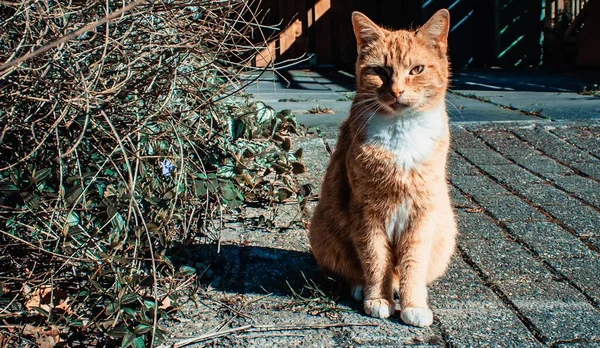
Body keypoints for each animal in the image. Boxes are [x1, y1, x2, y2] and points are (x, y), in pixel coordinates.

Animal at [308, 9, 458, 328]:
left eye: (416, 69)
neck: (401, 133)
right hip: (322, 228)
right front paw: (377, 299)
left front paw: (414, 304)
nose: (397, 90)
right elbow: (375, 259)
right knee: (354, 269)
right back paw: (362, 288)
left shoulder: (422, 214)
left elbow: (413, 263)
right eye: (380, 71)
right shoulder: (367, 212)